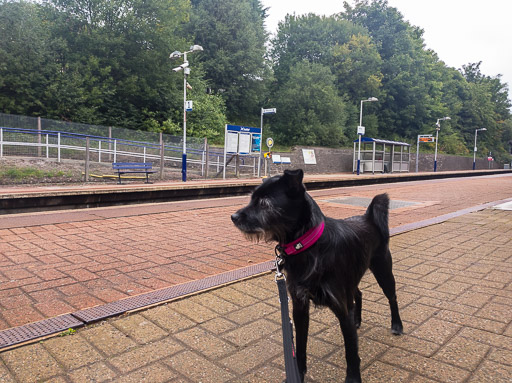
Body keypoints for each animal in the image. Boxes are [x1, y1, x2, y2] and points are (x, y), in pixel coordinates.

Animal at [232, 170, 404, 383]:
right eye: (252, 198)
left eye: (264, 203)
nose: (233, 216)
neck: (308, 246)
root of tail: (368, 217)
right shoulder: (300, 307)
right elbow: (300, 346)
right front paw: (298, 374)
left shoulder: (342, 308)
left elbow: (351, 351)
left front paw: (353, 378)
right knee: (359, 294)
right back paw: (358, 319)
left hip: (383, 270)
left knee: (392, 297)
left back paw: (397, 324)